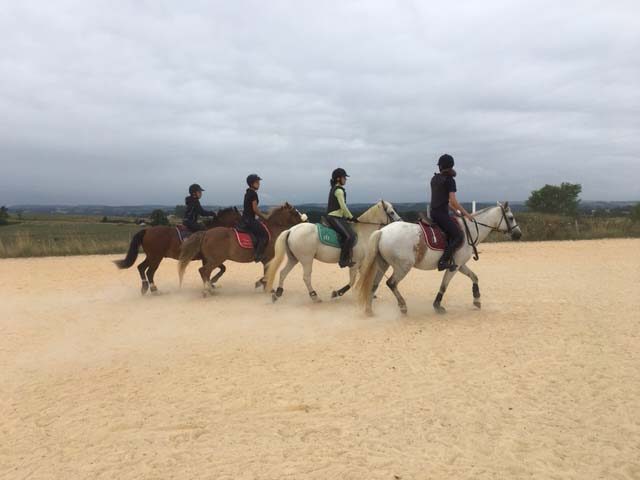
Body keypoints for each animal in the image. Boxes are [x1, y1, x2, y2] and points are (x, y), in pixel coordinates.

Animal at [112, 208, 240, 294]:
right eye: (239, 217)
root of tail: (147, 230)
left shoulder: (209, 259)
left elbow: (219, 269)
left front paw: (211, 284)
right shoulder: (209, 258)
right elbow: (219, 269)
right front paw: (212, 282)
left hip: (151, 256)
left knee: (141, 267)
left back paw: (144, 287)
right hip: (156, 257)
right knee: (149, 272)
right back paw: (154, 289)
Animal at [175, 202, 304, 296]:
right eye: (295, 213)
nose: (305, 221)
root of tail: (206, 233)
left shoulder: (266, 261)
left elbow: (266, 273)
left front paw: (263, 286)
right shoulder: (268, 259)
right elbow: (267, 274)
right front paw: (264, 287)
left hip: (212, 260)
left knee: (205, 272)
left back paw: (210, 287)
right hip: (215, 260)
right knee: (203, 271)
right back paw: (208, 290)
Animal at [264, 201, 400, 302]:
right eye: (391, 212)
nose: (400, 221)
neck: (362, 233)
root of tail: (291, 230)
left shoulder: (361, 263)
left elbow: (363, 276)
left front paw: (370, 293)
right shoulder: (355, 263)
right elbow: (352, 281)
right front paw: (336, 293)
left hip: (294, 259)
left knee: (283, 272)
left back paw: (278, 293)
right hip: (306, 259)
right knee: (306, 277)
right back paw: (314, 296)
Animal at [358, 202, 524, 316]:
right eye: (511, 218)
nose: (518, 234)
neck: (468, 230)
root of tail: (382, 232)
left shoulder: (460, 265)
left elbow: (474, 277)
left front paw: (477, 299)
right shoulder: (454, 266)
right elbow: (444, 286)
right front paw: (438, 306)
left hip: (383, 265)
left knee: (374, 284)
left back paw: (369, 310)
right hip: (403, 267)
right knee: (391, 283)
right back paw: (403, 306)